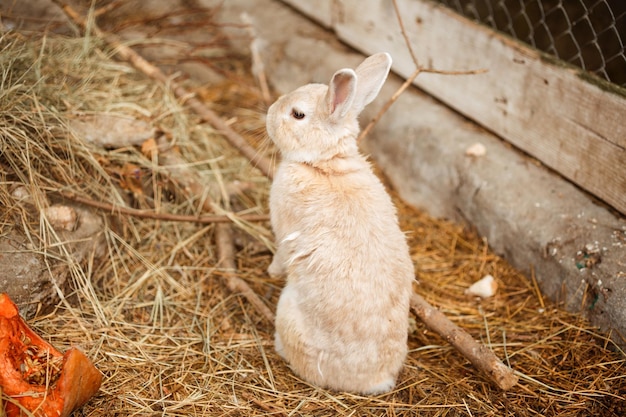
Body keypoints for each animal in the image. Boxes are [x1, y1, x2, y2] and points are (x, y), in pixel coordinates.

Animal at [264, 52, 414, 394]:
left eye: (297, 114)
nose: (269, 113)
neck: (324, 164)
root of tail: (375, 380)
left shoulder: (284, 232)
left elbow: (280, 255)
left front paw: (270, 271)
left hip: (288, 314)